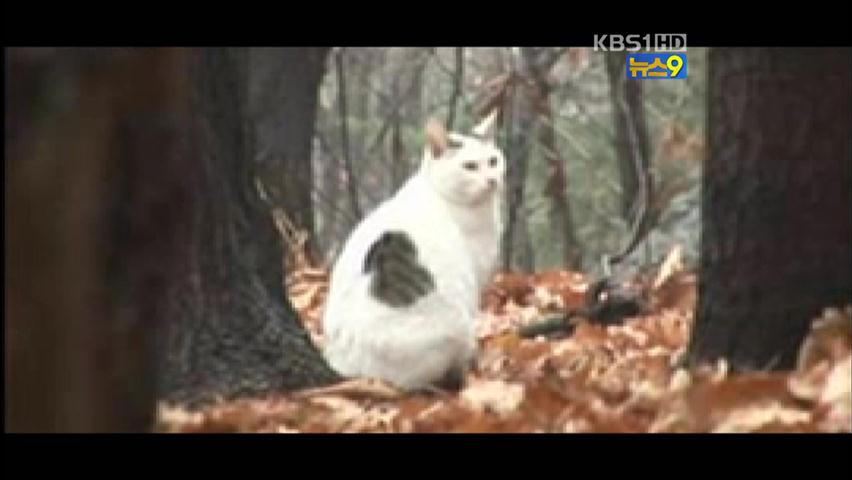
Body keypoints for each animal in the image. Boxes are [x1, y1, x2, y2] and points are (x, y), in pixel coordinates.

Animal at [320, 111, 506, 390]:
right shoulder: (475, 279)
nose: (492, 180)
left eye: (493, 161)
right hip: (454, 324)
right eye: (470, 166)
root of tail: (358, 373)